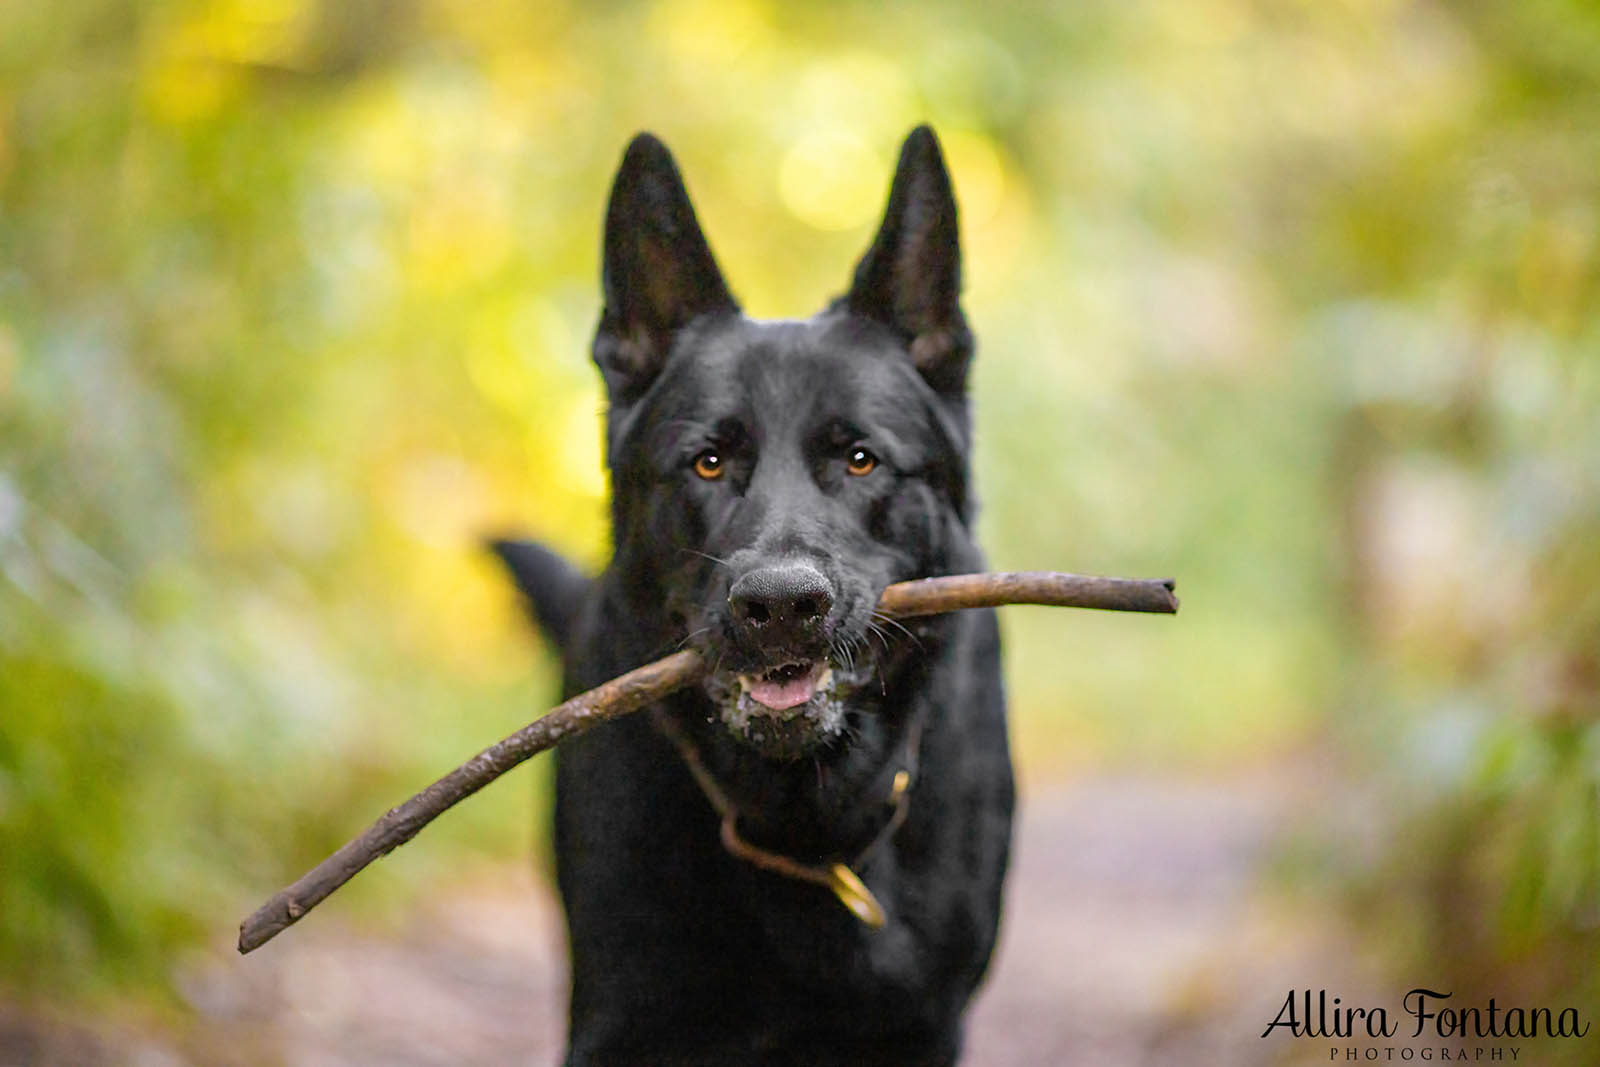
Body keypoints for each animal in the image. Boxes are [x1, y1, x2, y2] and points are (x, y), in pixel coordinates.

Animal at [492, 127, 1011, 1067]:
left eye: (860, 459)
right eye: (707, 461)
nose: (780, 606)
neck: (802, 820)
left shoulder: (923, 1025)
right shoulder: (622, 1020)